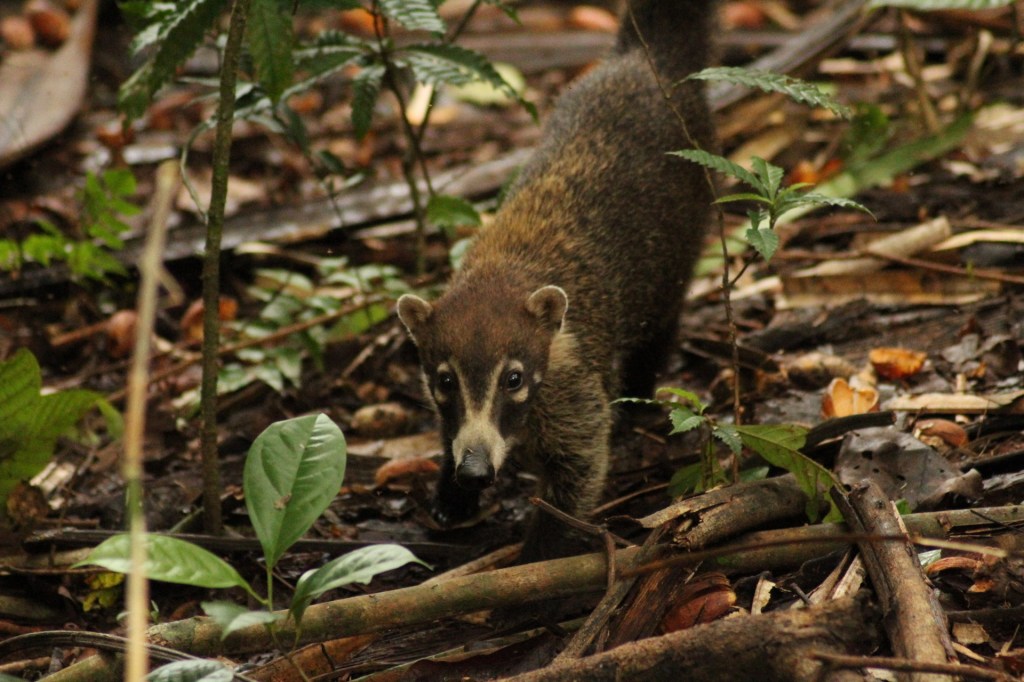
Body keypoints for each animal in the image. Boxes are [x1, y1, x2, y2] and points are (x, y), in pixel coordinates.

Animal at [397, 0, 716, 562]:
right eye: (444, 381)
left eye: (514, 379)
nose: (474, 472)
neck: (498, 273)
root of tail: (644, 60)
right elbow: (447, 428)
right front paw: (450, 491)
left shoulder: (572, 380)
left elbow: (580, 466)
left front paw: (536, 554)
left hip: (681, 243)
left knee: (662, 323)